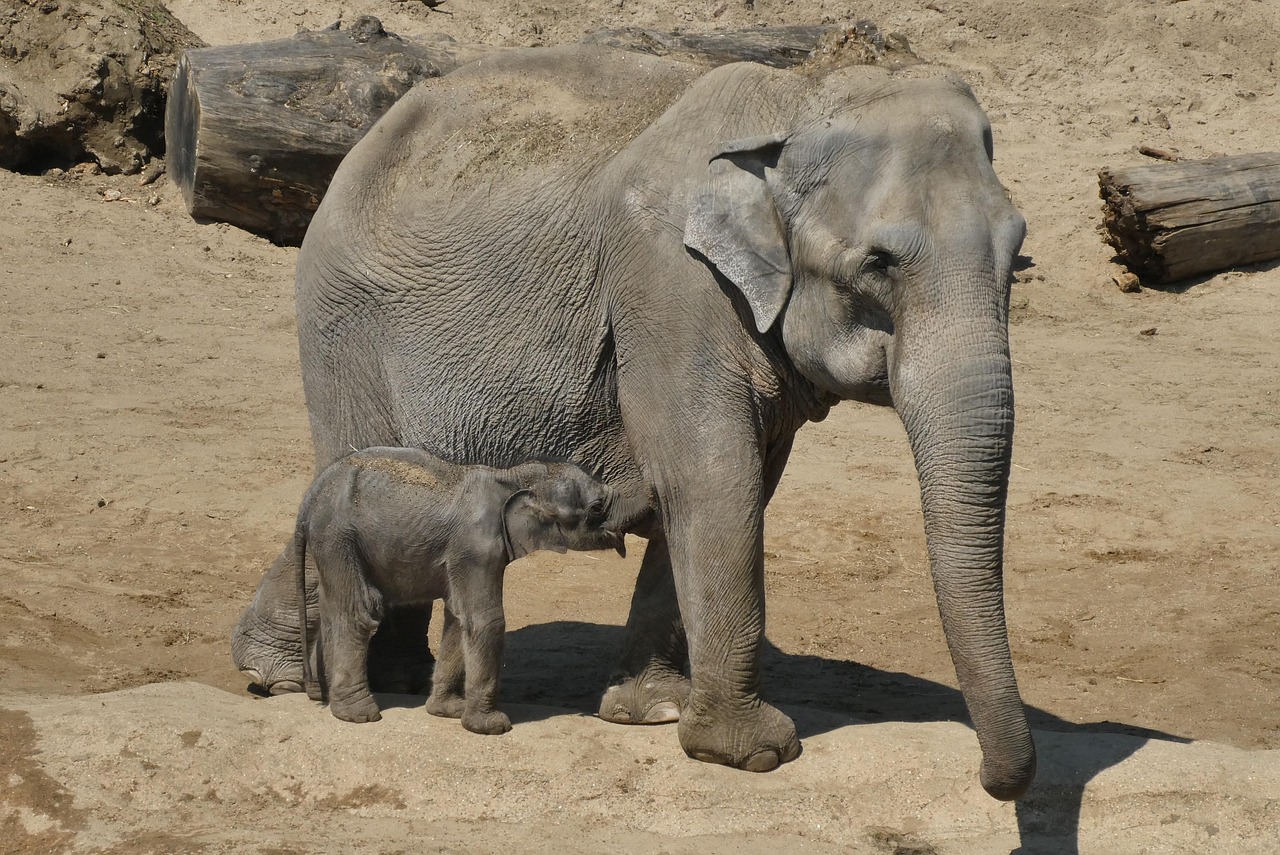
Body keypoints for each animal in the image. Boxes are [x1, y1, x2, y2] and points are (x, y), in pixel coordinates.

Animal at [294, 447, 624, 737]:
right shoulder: (476, 547)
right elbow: (485, 620)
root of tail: (309, 497)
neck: (511, 477)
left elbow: (457, 617)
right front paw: (491, 727)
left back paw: (324, 697)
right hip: (338, 537)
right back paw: (358, 714)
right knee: (356, 612)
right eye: (597, 507)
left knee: (331, 607)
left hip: (332, 543)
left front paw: (448, 710)